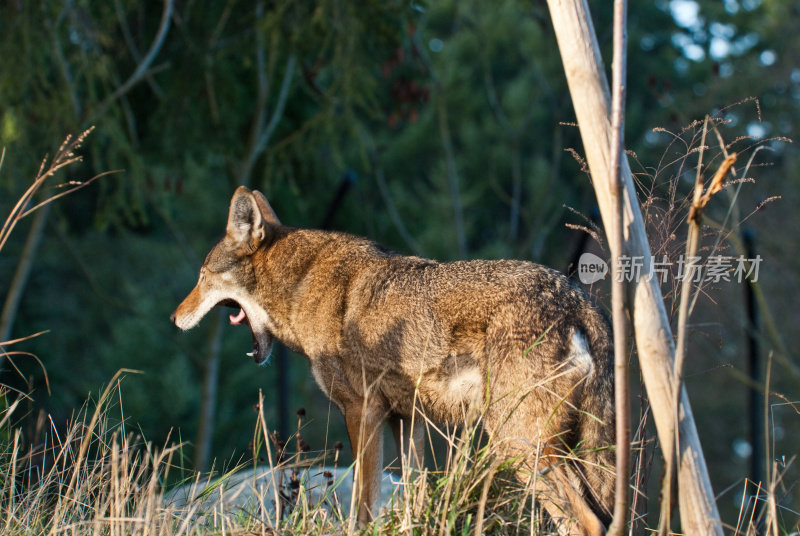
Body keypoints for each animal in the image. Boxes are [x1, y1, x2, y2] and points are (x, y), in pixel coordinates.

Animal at [172, 186, 616, 532]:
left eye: (201, 277)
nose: (175, 318)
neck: (302, 285)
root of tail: (577, 299)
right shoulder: (408, 419)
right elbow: (412, 497)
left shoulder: (363, 410)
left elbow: (362, 506)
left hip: (519, 445)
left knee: (588, 523)